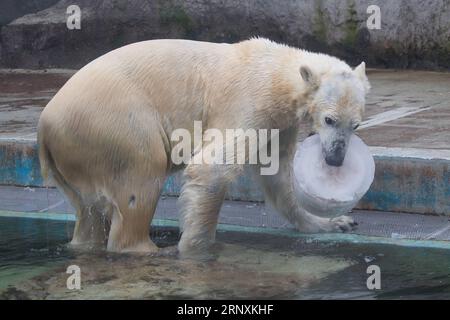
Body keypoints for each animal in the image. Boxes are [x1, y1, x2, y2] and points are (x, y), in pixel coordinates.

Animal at [37, 38, 370, 258]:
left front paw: (333, 222)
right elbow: (213, 168)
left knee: (88, 213)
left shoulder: (279, 121)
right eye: (328, 119)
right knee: (139, 181)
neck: (277, 72)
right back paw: (152, 250)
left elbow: (276, 176)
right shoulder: (249, 102)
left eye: (355, 125)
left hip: (78, 157)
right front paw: (198, 248)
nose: (335, 157)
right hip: (116, 126)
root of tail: (45, 124)